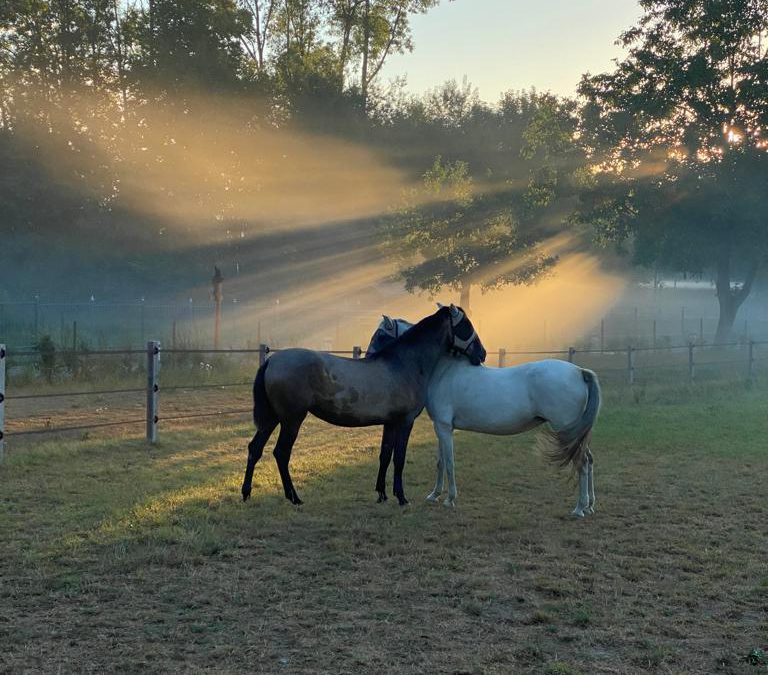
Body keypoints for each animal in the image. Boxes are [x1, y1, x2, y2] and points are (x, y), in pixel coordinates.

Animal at [242, 306, 486, 508]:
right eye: (467, 325)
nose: (481, 354)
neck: (406, 364)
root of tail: (271, 361)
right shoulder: (405, 422)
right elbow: (399, 458)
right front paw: (401, 497)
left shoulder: (390, 423)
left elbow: (385, 455)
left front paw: (382, 494)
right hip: (292, 420)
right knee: (281, 453)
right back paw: (294, 497)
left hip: (272, 419)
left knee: (255, 448)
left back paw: (246, 493)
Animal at [366, 316, 600, 516]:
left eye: (380, 335)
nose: (368, 359)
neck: (444, 370)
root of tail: (579, 372)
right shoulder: (441, 427)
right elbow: (440, 462)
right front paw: (434, 495)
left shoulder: (443, 427)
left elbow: (449, 462)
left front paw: (450, 499)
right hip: (575, 433)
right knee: (588, 460)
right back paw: (589, 506)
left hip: (566, 430)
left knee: (581, 463)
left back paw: (579, 508)